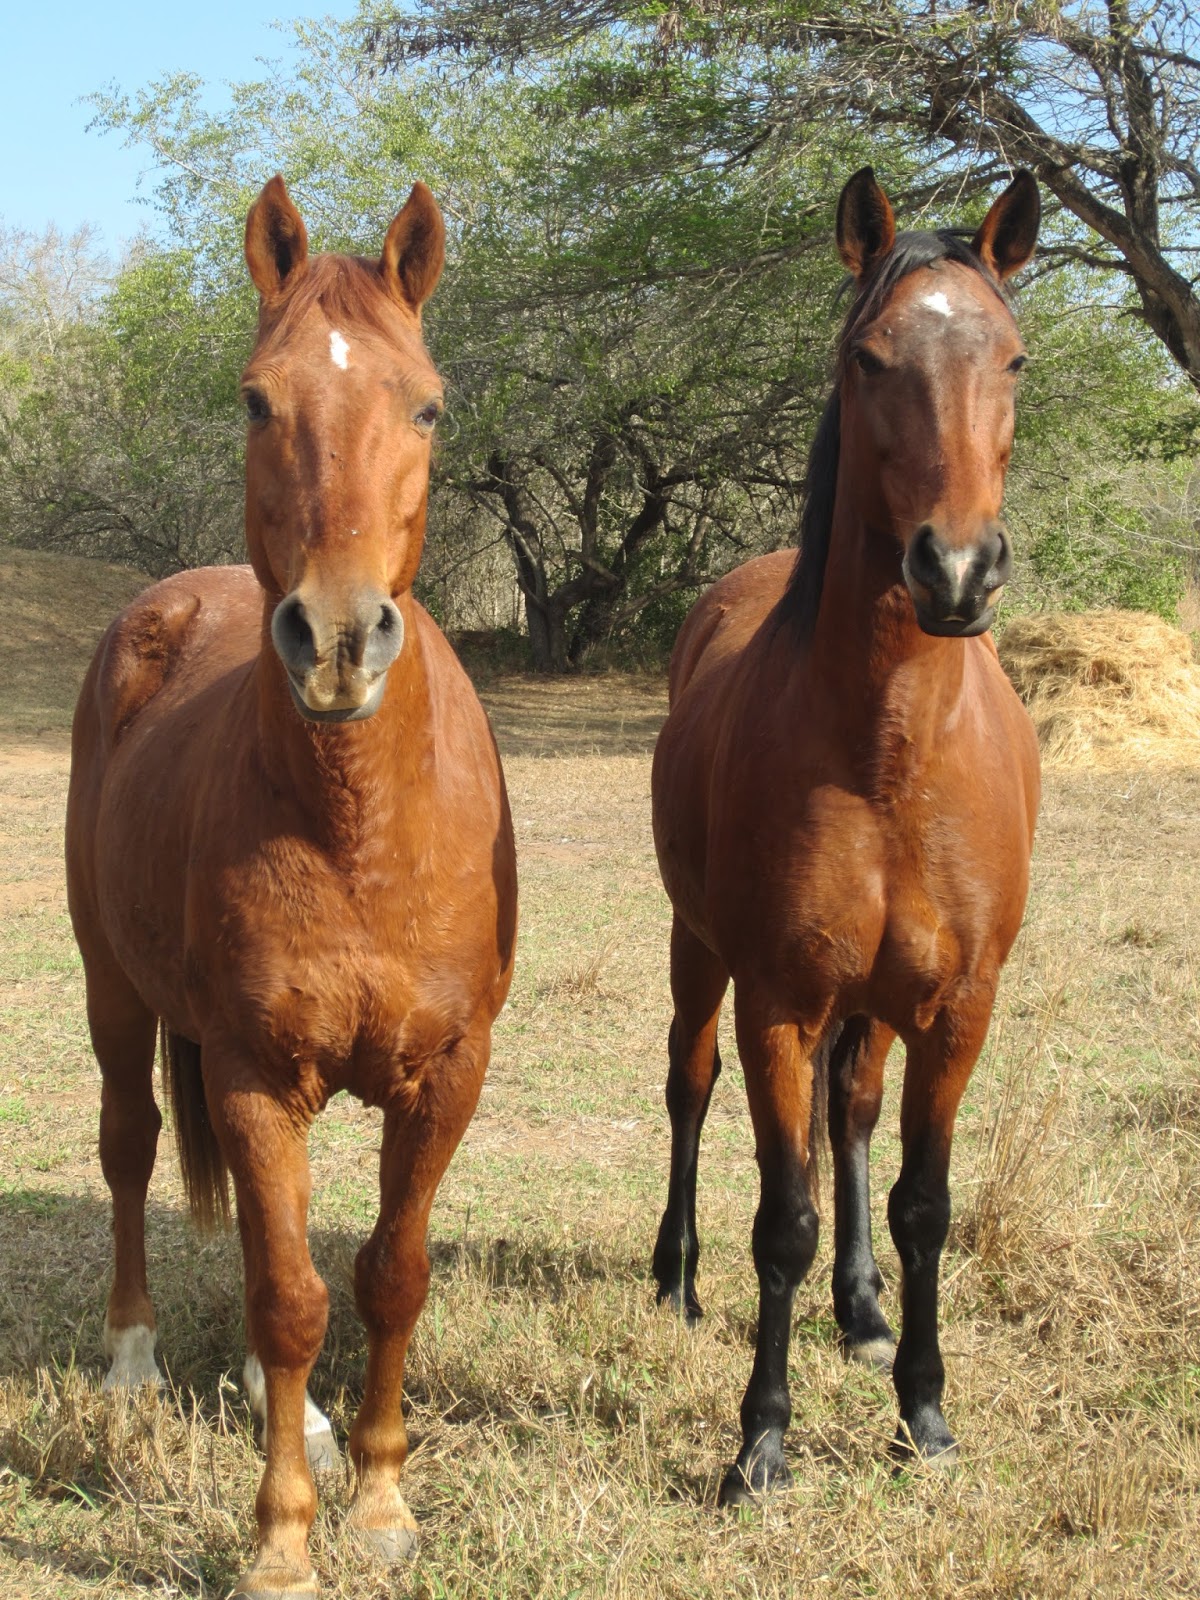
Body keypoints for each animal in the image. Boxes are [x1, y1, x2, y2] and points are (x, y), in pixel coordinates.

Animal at [65, 176, 517, 1597]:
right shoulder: (257, 1075)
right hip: (115, 996)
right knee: (128, 1150)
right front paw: (279, 1537)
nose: (334, 638)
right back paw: (133, 1362)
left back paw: (311, 1422)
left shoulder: (446, 1074)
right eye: (258, 400)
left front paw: (375, 1496)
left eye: (427, 404)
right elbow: (286, 1298)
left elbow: (384, 1275)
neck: (362, 828)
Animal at [650, 167, 1042, 1502]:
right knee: (690, 1085)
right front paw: (758, 1440)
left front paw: (924, 1406)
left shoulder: (960, 1007)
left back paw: (863, 1308)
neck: (890, 755)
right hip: (700, 952)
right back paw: (675, 1275)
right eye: (870, 359)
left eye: (1013, 359)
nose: (956, 572)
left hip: (876, 1002)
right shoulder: (778, 996)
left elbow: (921, 1200)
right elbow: (783, 1216)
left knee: (854, 1117)